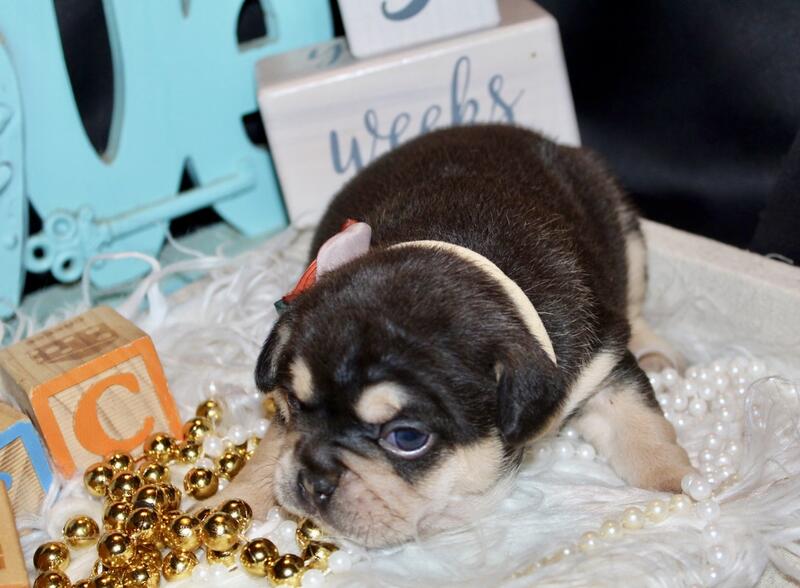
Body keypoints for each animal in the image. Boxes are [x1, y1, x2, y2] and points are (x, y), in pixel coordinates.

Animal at [216, 125, 693, 548]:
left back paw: (655, 352)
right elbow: (267, 456)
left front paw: (684, 487)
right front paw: (226, 506)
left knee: (635, 302)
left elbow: (643, 430)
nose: (313, 479)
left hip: (622, 224)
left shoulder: (603, 367)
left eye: (407, 439)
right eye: (293, 403)